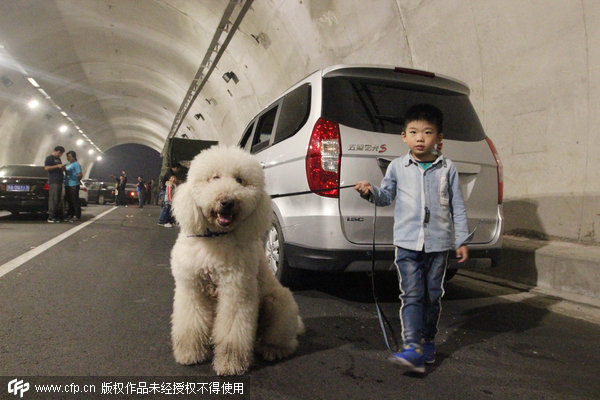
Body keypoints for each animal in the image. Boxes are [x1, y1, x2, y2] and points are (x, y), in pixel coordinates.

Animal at [169, 145, 304, 376]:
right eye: (214, 177)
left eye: (240, 180)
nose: (227, 202)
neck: (215, 237)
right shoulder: (191, 288)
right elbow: (191, 324)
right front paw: (189, 354)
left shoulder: (236, 291)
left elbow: (232, 332)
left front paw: (230, 364)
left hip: (279, 303)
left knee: (287, 341)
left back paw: (273, 350)